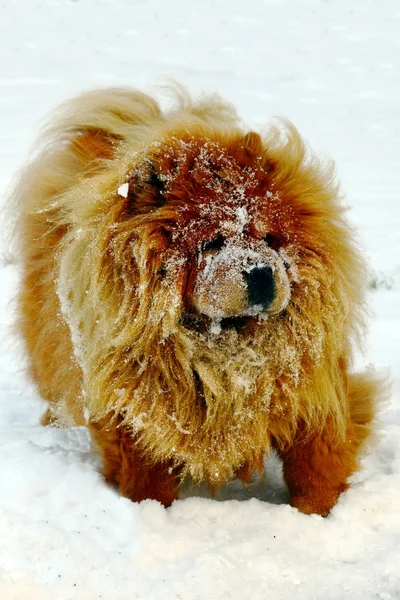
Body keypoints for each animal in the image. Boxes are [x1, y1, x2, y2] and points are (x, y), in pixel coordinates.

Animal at [12, 88, 382, 516]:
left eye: (269, 238)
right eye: (212, 243)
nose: (261, 272)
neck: (226, 352)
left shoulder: (314, 391)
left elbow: (316, 464)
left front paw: (319, 515)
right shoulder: (133, 408)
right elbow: (146, 474)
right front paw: (151, 511)